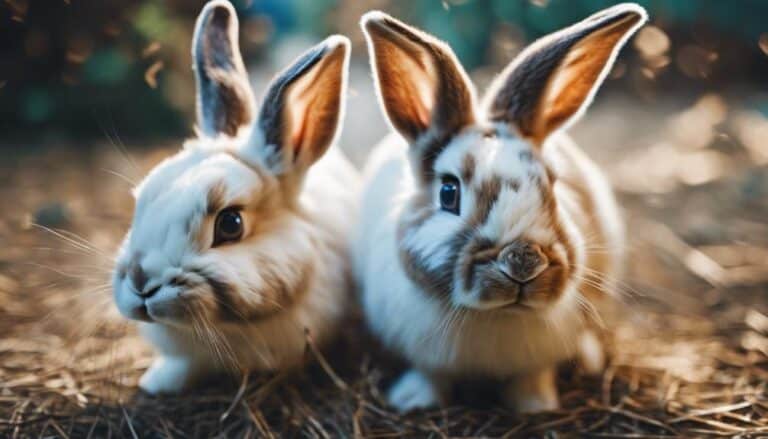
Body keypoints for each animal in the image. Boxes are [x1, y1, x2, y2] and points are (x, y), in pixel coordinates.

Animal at [355, 4, 646, 413]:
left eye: (552, 182)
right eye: (448, 192)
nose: (523, 261)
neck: (497, 316)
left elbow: (531, 377)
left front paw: (535, 406)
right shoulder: (425, 354)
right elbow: (431, 375)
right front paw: (413, 401)